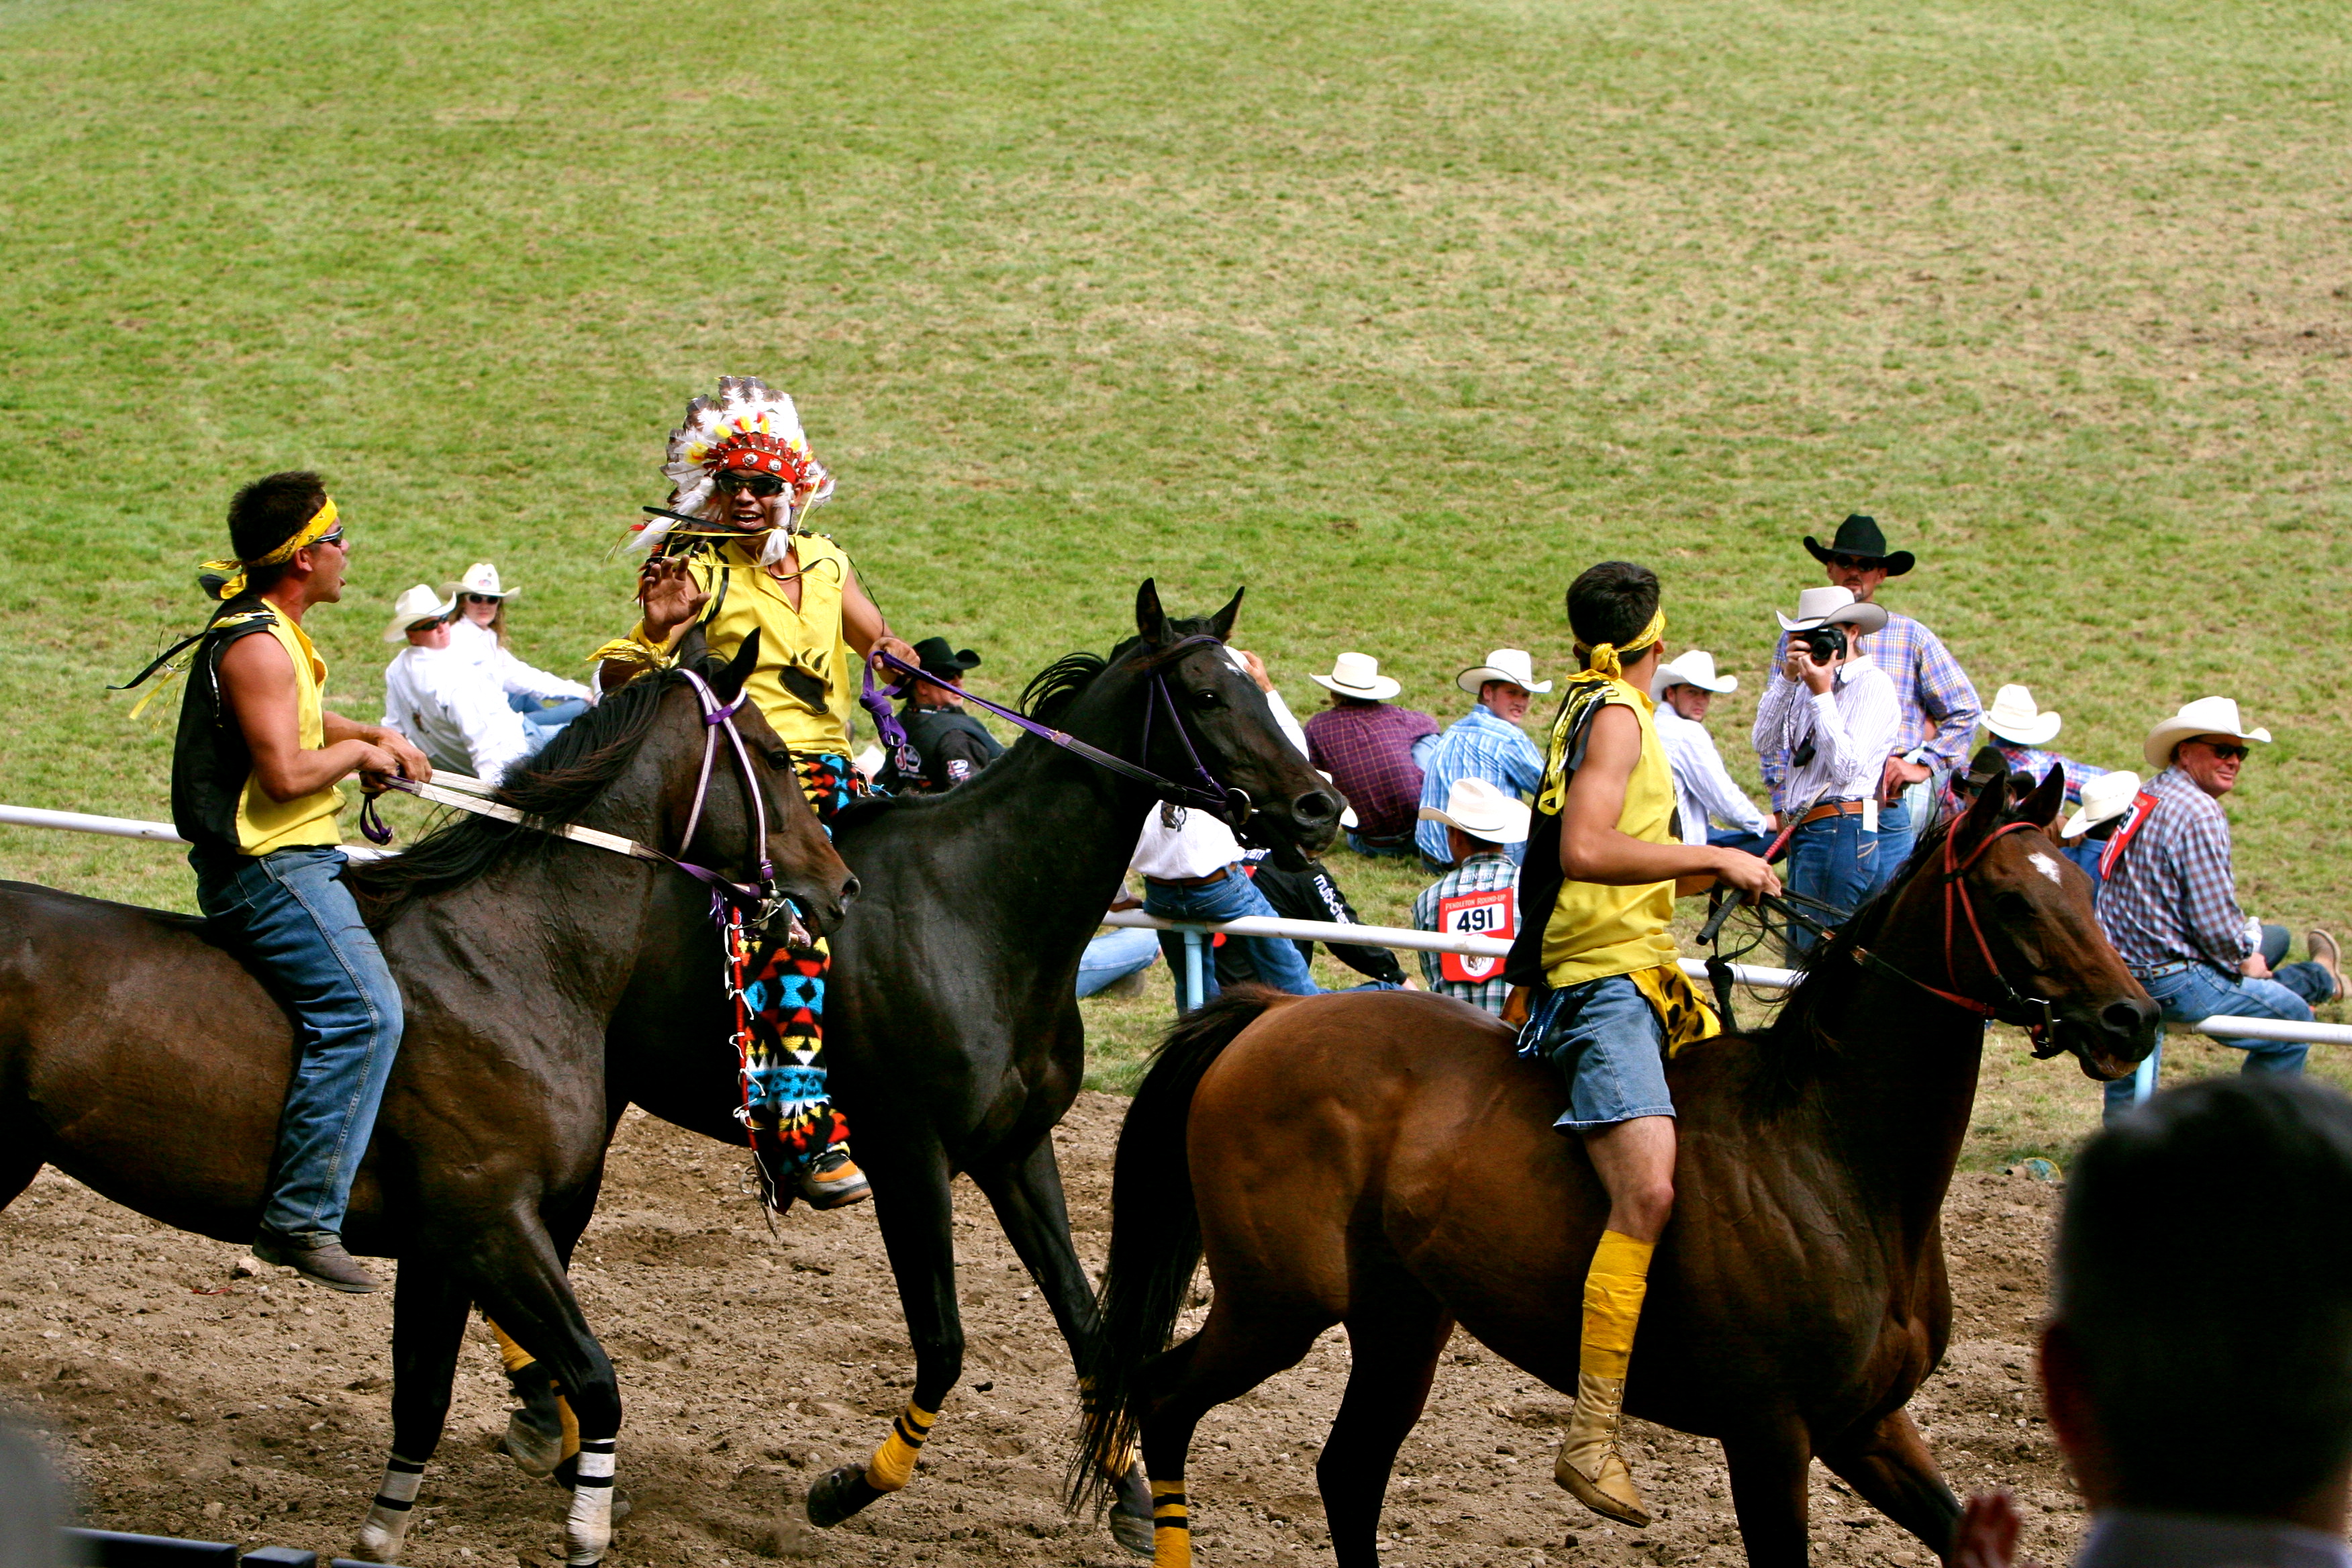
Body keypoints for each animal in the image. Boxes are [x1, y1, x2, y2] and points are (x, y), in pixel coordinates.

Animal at [0, 631, 856, 1567]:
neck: (513, 956)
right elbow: (595, 1377)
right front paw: (587, 1526)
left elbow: (422, 1396)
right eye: (772, 754)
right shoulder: (491, 1223)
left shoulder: (440, 1252)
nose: (841, 885)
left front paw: (382, 1531)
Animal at [612, 580, 1344, 1554]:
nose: (1318, 809)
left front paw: (1129, 1492)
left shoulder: (1017, 1151)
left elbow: (1084, 1323)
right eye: (1206, 695)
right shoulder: (910, 1161)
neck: (979, 908)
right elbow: (945, 1342)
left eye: (1258, 686)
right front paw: (851, 1485)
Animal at [1073, 761, 2160, 1567]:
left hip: (1400, 1321)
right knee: (1165, 1400)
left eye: (2088, 886)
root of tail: (1273, 1016)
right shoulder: (1771, 1437)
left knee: (1346, 1473)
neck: (1833, 1160)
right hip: (1277, 1306)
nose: (2131, 1020)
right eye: (2011, 898)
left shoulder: (1869, 1425)